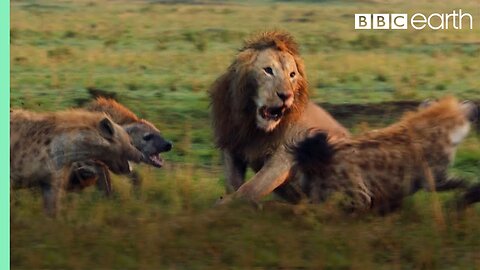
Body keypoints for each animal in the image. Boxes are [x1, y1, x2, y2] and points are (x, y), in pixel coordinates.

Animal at [210, 30, 348, 202]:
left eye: (292, 74)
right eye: (268, 70)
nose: (286, 95)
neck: (253, 125)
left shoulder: (284, 155)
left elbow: (250, 188)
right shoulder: (231, 144)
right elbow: (233, 183)